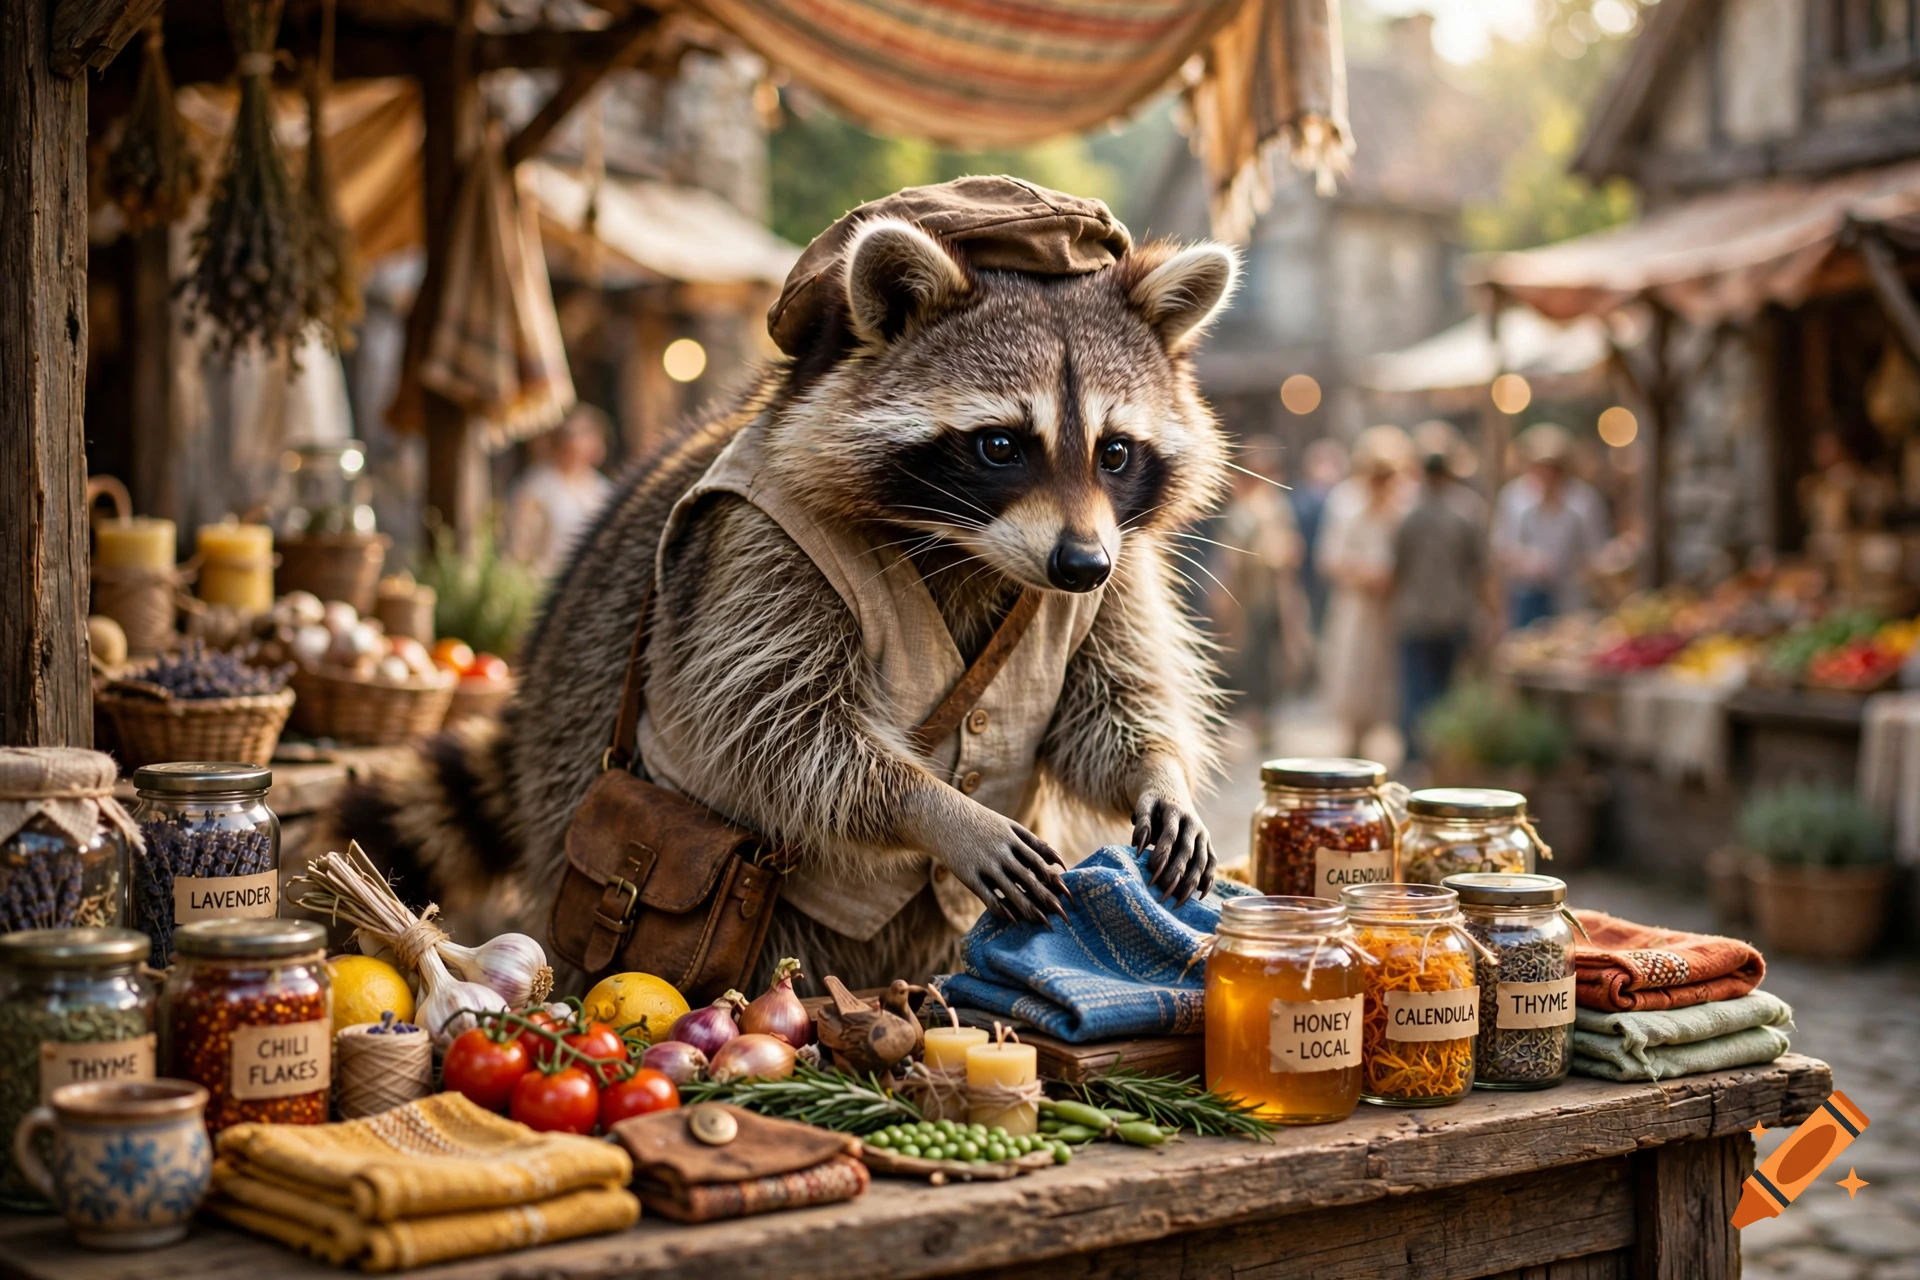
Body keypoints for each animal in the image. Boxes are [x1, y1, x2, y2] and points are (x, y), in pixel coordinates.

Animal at [340, 211, 1240, 995]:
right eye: (999, 445)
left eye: (1115, 452)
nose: (1078, 566)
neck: (969, 549)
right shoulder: (758, 549)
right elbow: (779, 724)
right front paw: (933, 807)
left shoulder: (1120, 564)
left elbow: (1110, 695)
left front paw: (1156, 772)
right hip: (579, 744)